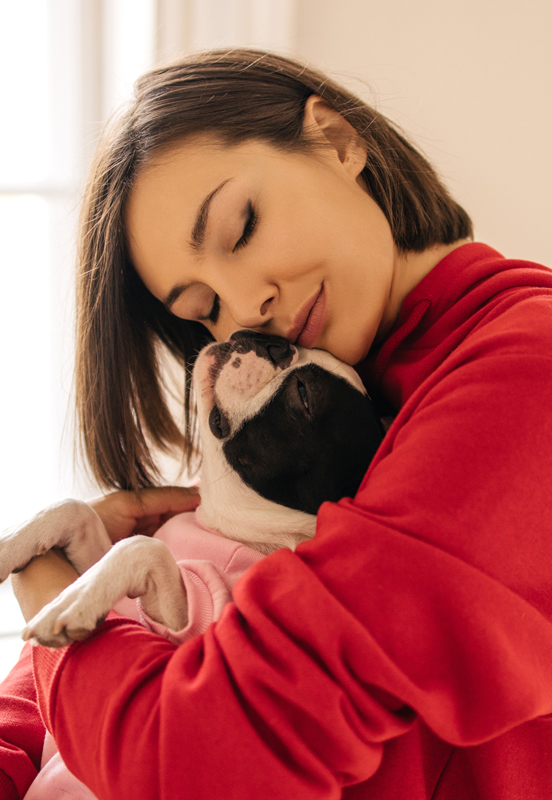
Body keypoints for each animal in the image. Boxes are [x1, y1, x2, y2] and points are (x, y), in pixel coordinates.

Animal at [0, 328, 384, 648]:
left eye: (304, 394)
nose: (272, 342)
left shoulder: (192, 614)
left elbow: (143, 547)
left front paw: (75, 600)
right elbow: (76, 511)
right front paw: (9, 544)